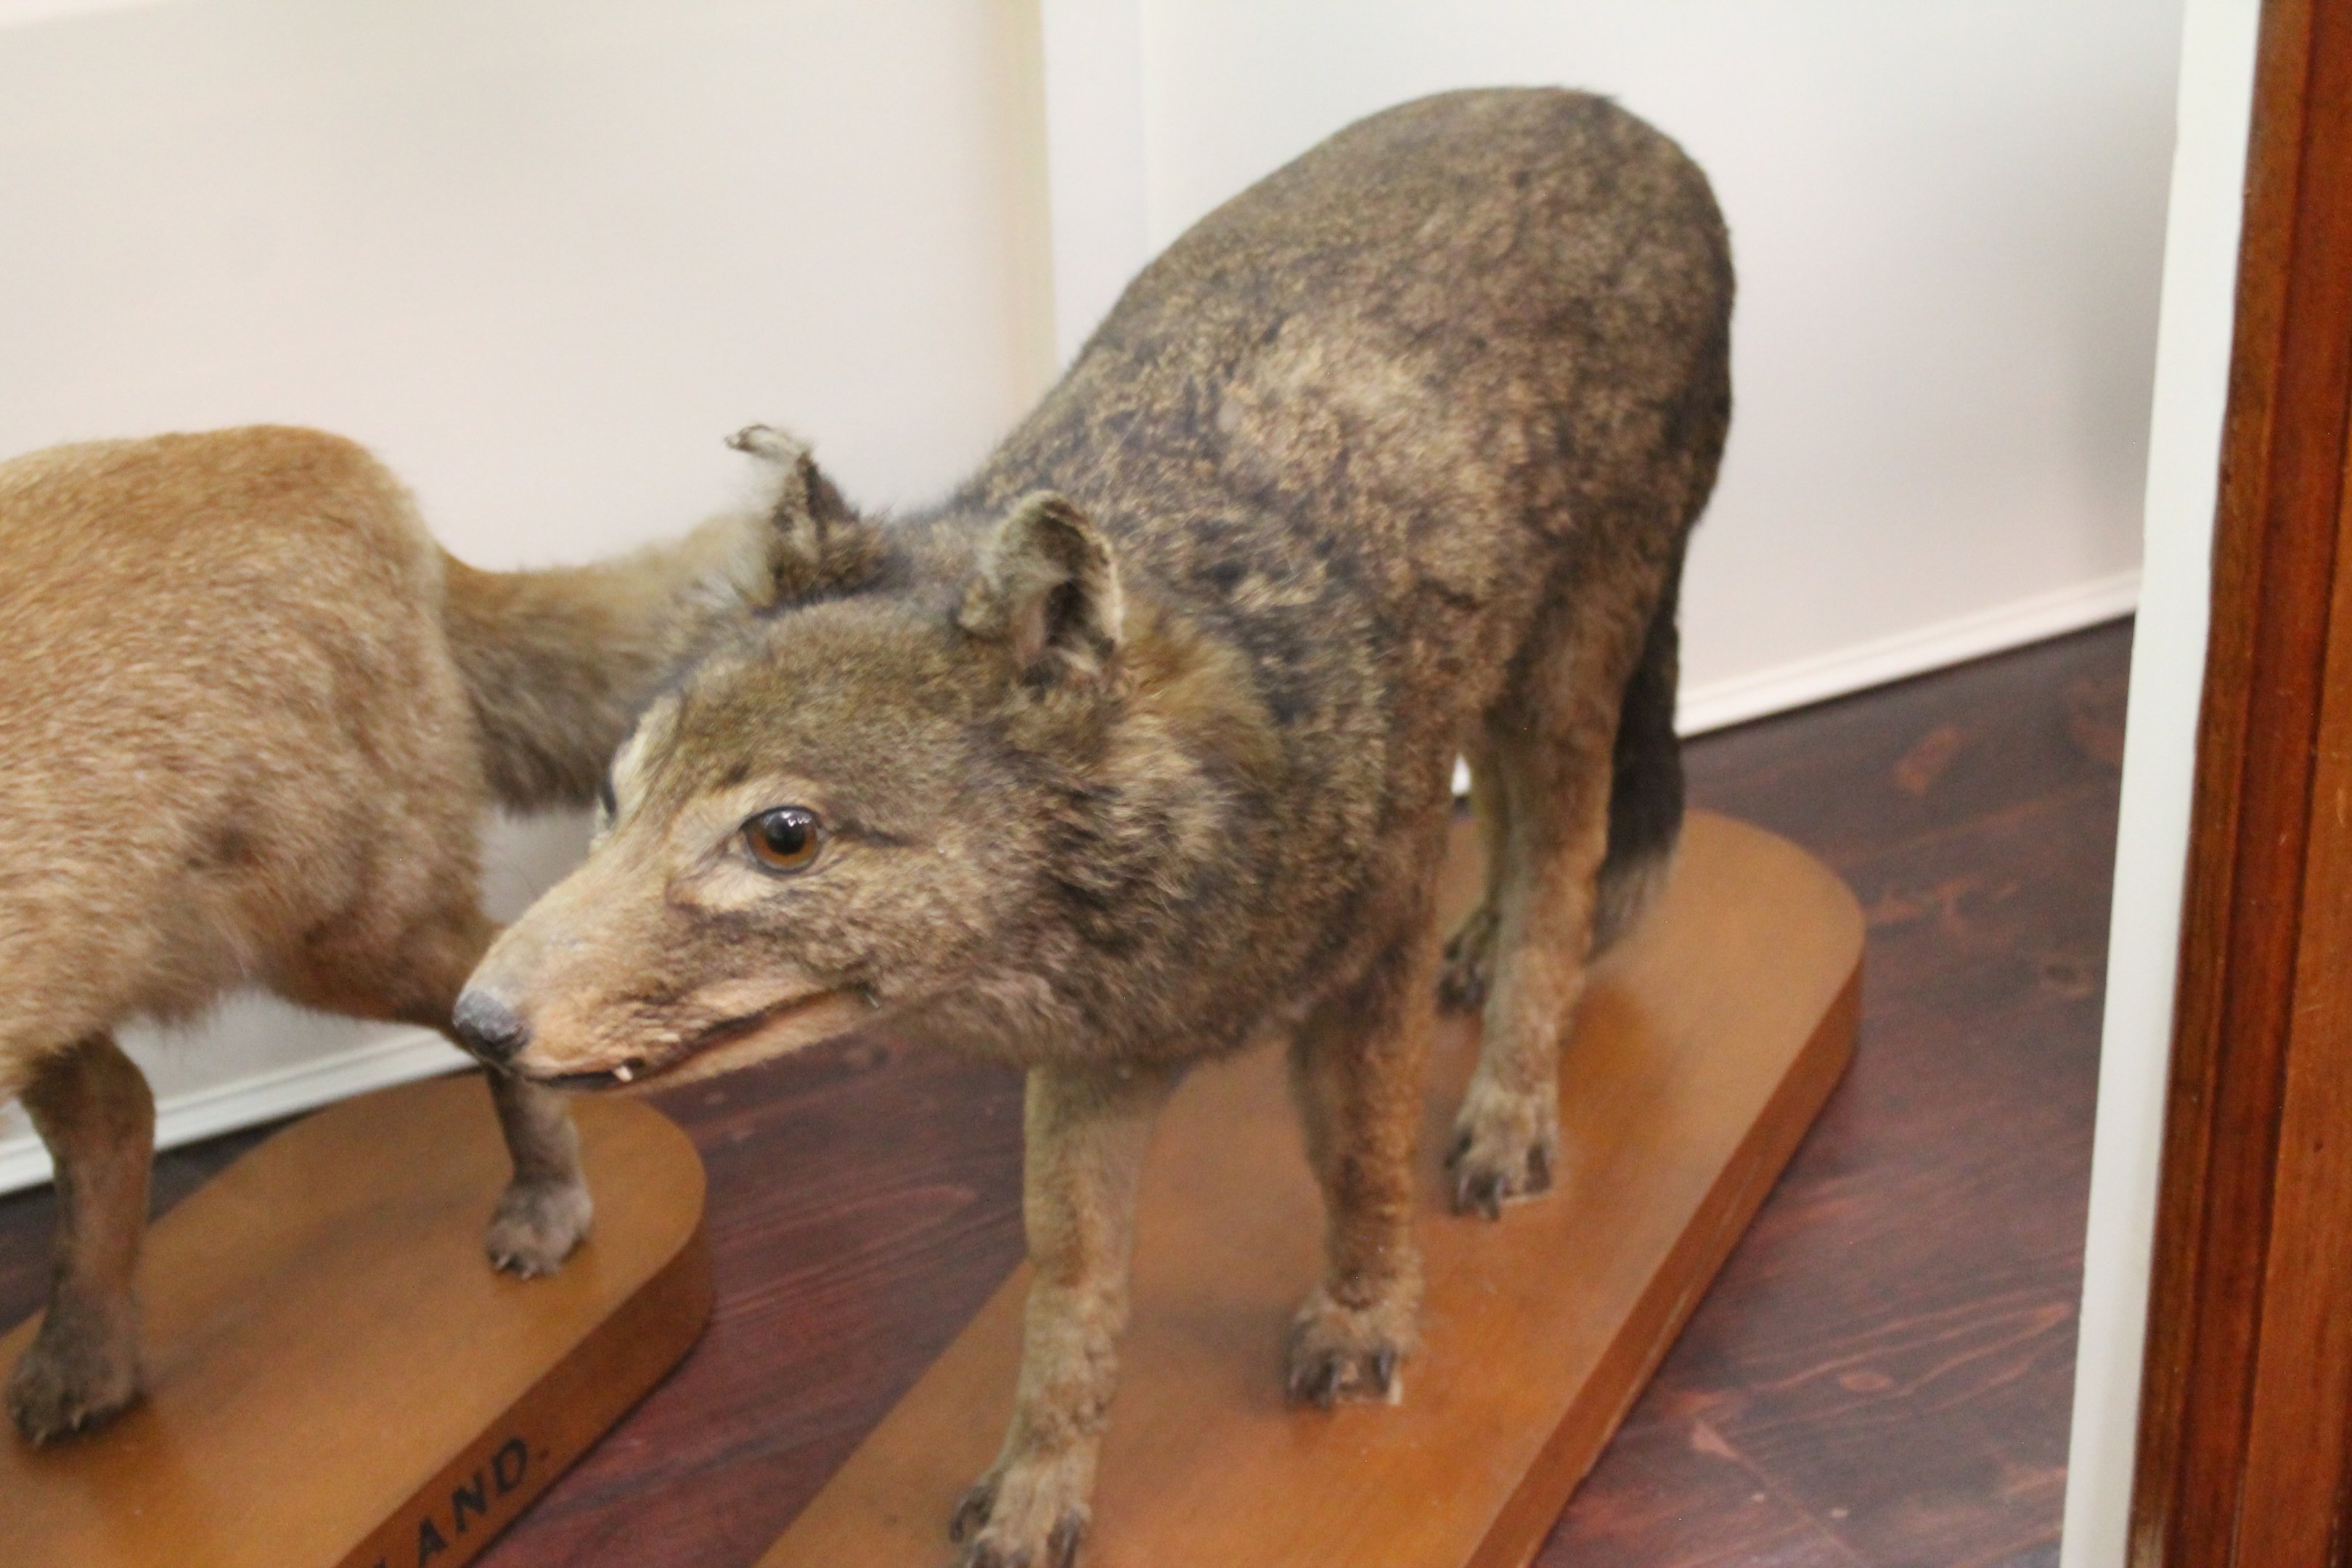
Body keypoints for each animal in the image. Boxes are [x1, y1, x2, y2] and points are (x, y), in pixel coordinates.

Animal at [0, 423, 815, 1443]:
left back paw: (546, 1205)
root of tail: (353, 469)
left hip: (346, 937)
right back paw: (83, 1365)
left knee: (489, 998)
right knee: (118, 1109)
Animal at [459, 88, 1732, 1567]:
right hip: (1499, 680)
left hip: (1570, 672)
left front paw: (1368, 1320)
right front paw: (1038, 1492)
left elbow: (1361, 1160)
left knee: (1568, 864)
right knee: (1522, 835)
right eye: (615, 798)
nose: (474, 1022)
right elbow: (1070, 1288)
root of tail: (1632, 126)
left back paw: (1514, 1107)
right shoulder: (1089, 1065)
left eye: (781, 837)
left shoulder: (1373, 953)